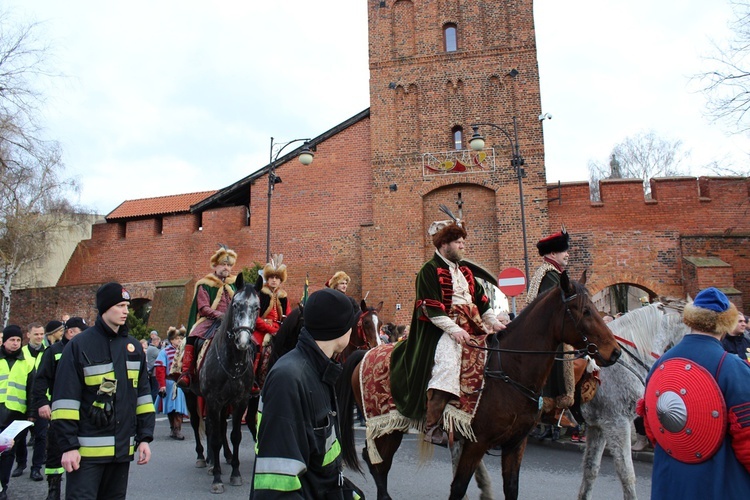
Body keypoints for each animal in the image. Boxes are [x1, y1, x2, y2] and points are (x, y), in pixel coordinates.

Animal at [195, 274, 260, 492]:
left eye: (257, 307)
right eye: (236, 304)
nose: (243, 341)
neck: (232, 361)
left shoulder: (240, 401)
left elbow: (235, 436)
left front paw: (236, 473)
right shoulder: (213, 401)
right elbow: (214, 438)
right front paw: (217, 478)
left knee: (222, 426)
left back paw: (226, 457)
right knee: (199, 424)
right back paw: (203, 458)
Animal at [340, 274, 624, 500]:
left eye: (594, 308)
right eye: (584, 311)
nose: (615, 352)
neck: (509, 369)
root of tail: (368, 353)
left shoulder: (515, 444)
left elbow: (511, 488)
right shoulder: (476, 443)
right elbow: (458, 487)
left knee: (377, 463)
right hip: (385, 426)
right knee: (377, 463)